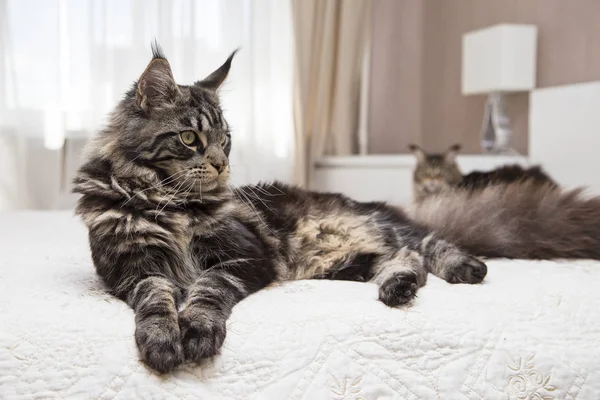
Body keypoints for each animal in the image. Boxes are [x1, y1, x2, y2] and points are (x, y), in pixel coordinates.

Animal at [72, 45, 490, 374]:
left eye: (225, 139)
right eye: (190, 138)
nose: (222, 164)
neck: (169, 203)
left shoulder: (245, 258)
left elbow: (208, 289)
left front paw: (197, 330)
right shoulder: (134, 270)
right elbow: (156, 299)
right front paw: (161, 338)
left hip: (378, 229)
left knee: (429, 244)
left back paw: (466, 268)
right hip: (347, 262)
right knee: (407, 260)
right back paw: (398, 288)